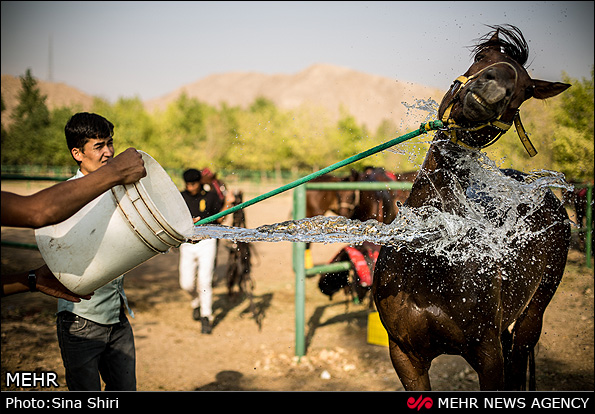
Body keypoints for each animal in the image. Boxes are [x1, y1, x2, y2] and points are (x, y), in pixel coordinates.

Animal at [372, 25, 572, 392]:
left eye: (526, 91)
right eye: (482, 57)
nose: (494, 86)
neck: (431, 258)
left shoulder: (488, 356)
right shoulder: (405, 355)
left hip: (532, 316)